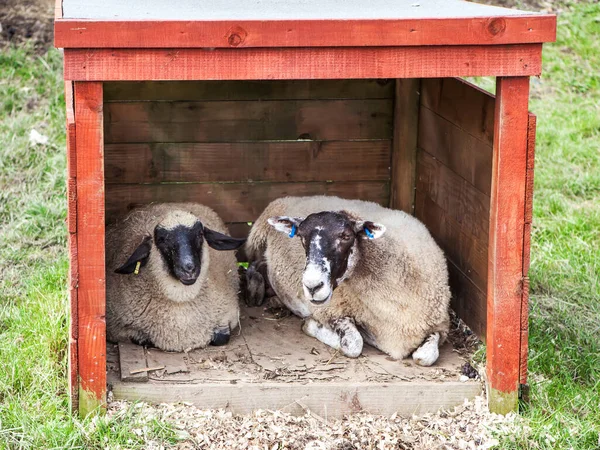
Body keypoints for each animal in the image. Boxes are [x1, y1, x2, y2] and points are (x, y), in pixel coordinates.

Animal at [104, 202, 245, 354]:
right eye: (161, 240)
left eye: (200, 234)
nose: (189, 268)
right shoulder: (117, 329)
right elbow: (144, 340)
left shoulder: (228, 315)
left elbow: (220, 338)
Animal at [245, 196, 450, 366]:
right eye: (301, 237)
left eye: (346, 236)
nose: (312, 286)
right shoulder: (333, 311)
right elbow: (353, 344)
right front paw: (310, 325)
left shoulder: (440, 326)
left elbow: (424, 357)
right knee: (254, 262)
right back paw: (254, 291)